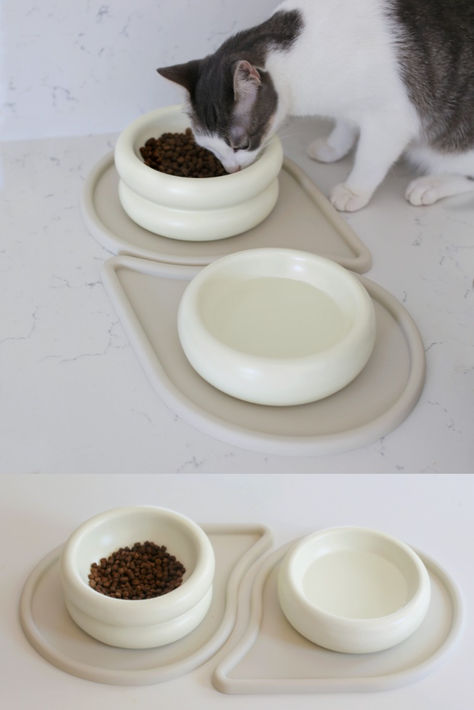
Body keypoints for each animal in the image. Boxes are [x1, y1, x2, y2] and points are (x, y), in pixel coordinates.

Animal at [159, 0, 474, 211]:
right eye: (208, 148)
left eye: (241, 144)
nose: (232, 169)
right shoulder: (350, 105)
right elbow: (346, 124)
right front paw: (334, 148)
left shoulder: (391, 117)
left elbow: (370, 158)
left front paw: (354, 191)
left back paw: (430, 185)